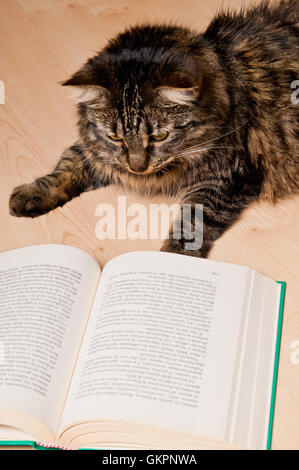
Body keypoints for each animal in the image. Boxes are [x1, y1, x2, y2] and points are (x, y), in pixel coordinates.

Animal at [9, 0, 299, 258]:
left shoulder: (225, 176)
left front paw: (170, 258)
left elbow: (192, 222)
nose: (137, 167)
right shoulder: (98, 150)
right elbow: (67, 165)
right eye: (116, 137)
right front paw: (32, 194)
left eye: (160, 136)